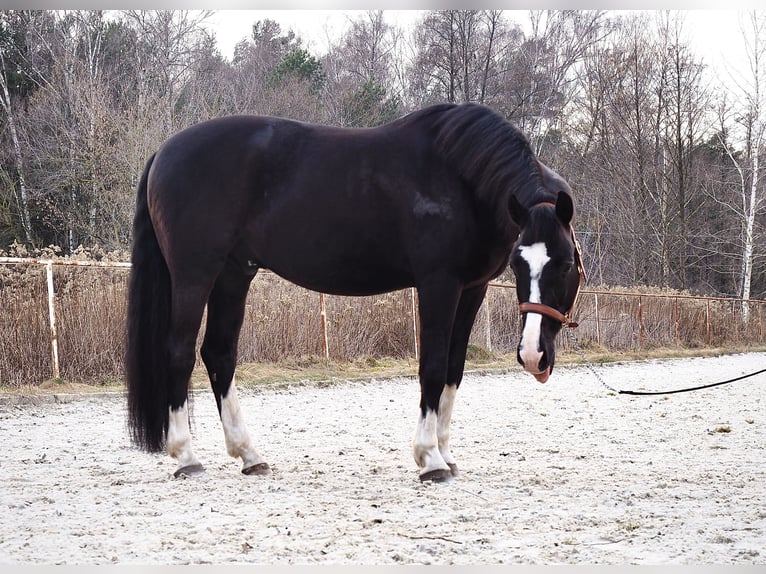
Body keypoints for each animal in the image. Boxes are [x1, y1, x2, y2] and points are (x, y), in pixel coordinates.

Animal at [126, 102, 585, 482]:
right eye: (521, 264)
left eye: (563, 265)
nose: (533, 356)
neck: (461, 178)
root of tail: (165, 151)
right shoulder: (438, 283)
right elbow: (433, 366)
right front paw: (429, 459)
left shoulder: (472, 288)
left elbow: (454, 370)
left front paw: (446, 453)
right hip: (194, 274)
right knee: (180, 354)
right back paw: (187, 457)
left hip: (234, 275)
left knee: (219, 354)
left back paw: (249, 455)